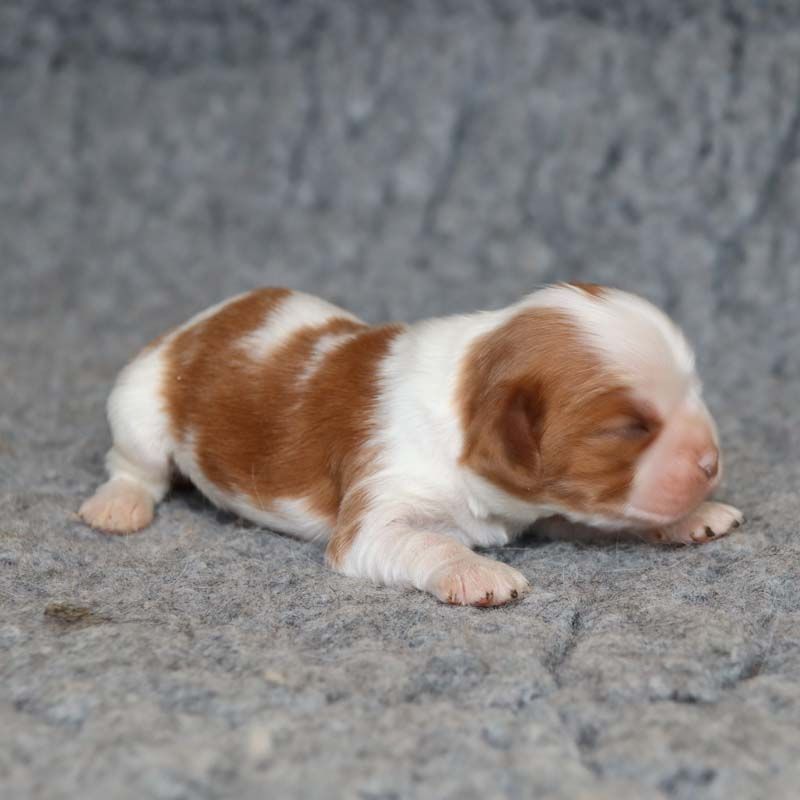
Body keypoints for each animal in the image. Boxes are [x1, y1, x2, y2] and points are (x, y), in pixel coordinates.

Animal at [80, 284, 743, 606]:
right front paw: (477, 572)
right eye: (630, 428)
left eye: (695, 391)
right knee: (132, 465)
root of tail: (202, 321)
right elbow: (427, 541)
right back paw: (118, 506)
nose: (712, 463)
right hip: (138, 404)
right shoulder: (380, 509)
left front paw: (695, 516)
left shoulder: (544, 501)